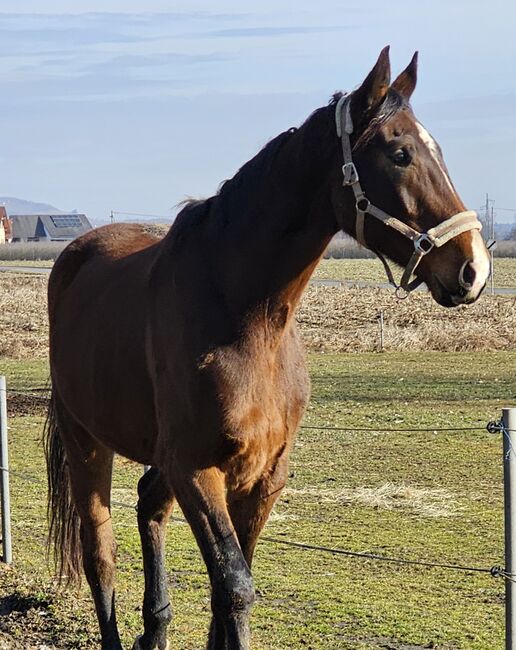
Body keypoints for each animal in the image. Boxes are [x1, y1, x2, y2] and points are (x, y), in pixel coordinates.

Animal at [43, 46, 488, 648]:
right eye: (400, 154)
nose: (473, 268)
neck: (245, 318)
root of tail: (75, 256)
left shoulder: (263, 476)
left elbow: (230, 589)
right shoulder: (196, 469)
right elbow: (234, 587)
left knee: (148, 508)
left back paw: (155, 628)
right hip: (86, 440)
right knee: (100, 554)